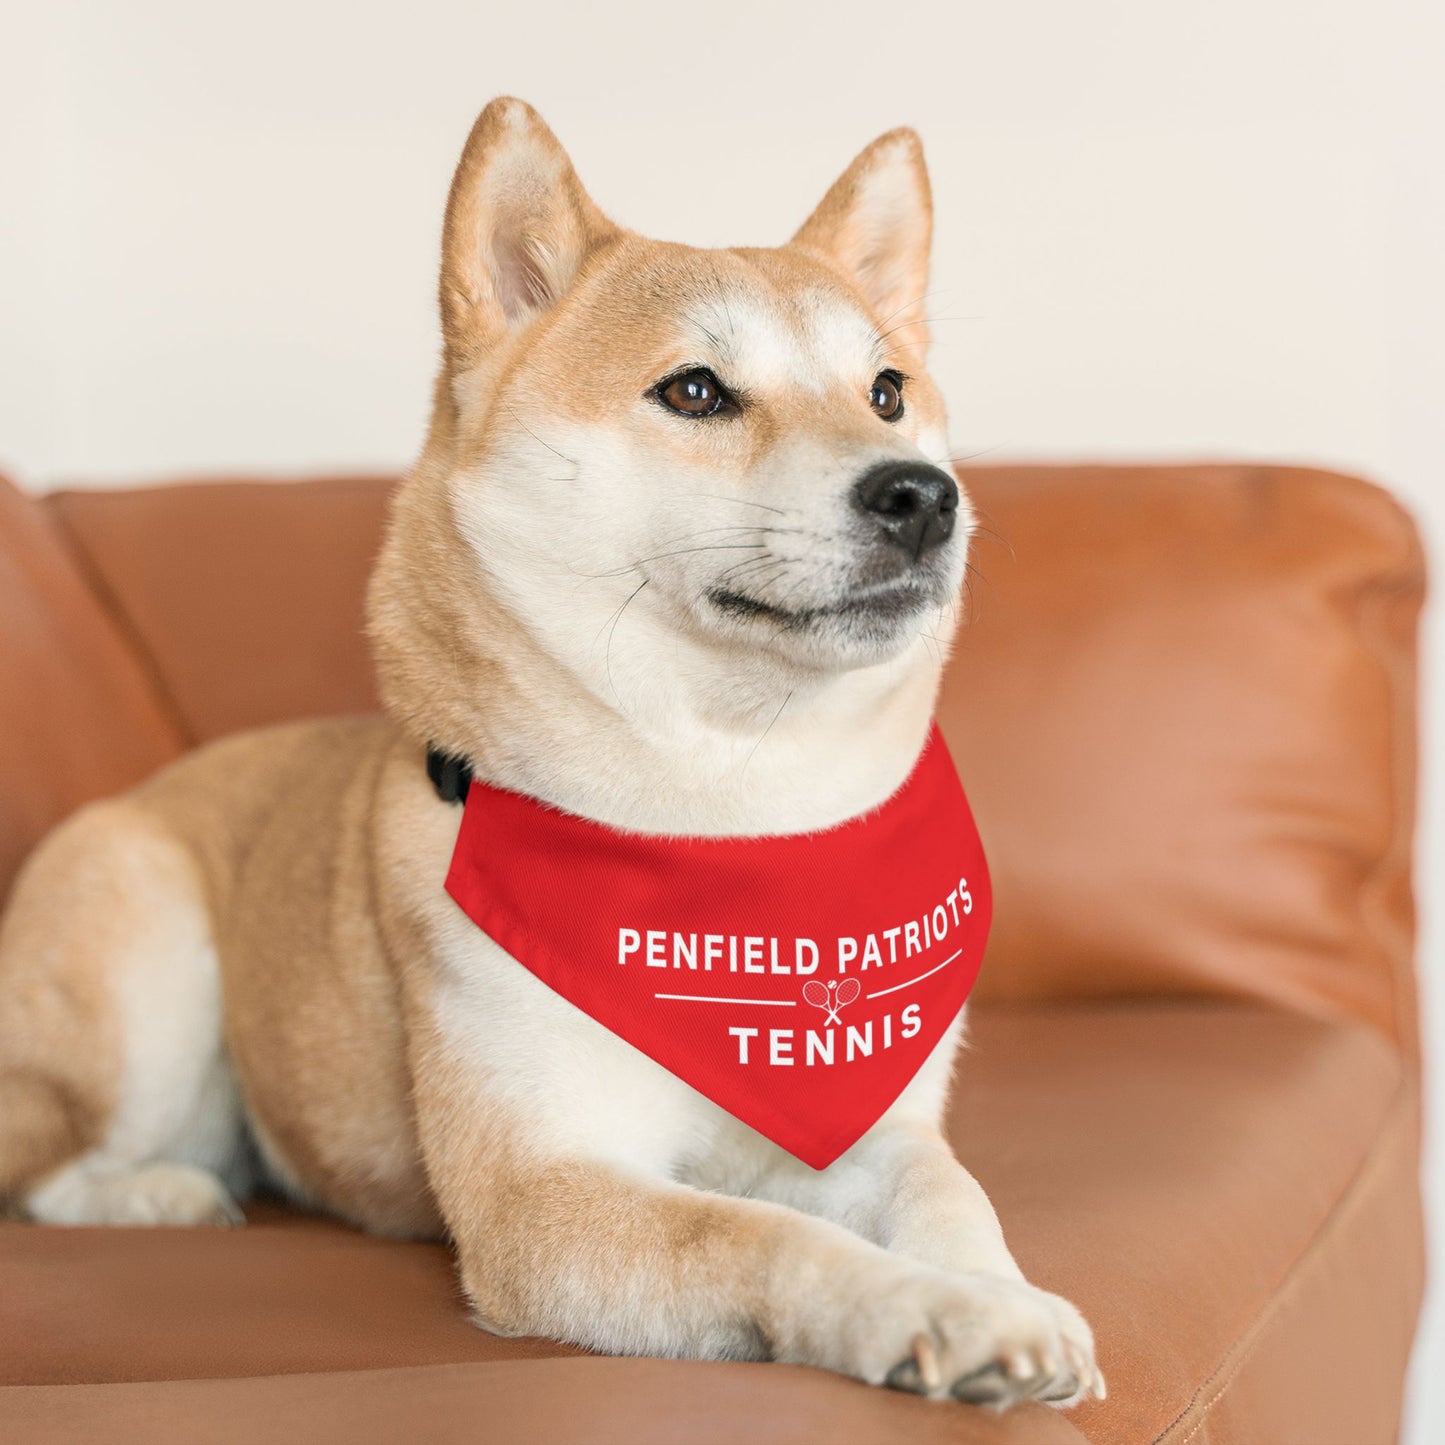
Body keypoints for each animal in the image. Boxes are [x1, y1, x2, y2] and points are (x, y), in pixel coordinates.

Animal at [0, 96, 1098, 1404]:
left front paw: (1001, 1291)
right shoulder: (541, 1192)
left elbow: (948, 1191)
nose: (923, 495)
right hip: (145, 962)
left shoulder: (871, 1117)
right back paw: (162, 1192)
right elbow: (765, 1234)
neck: (729, 822)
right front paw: (929, 1307)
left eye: (886, 390)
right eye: (694, 390)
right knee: (48, 1165)